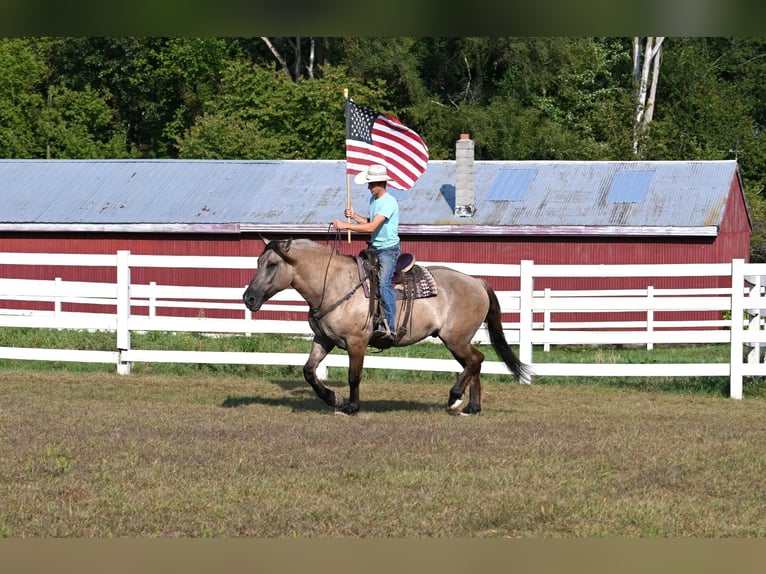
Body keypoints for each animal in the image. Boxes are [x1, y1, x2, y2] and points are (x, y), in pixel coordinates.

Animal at [242, 238, 530, 415]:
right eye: (258, 262)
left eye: (273, 264)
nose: (249, 298)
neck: (334, 283)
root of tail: (477, 282)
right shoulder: (324, 340)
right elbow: (309, 371)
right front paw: (333, 398)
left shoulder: (357, 343)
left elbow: (354, 375)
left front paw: (351, 407)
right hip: (457, 341)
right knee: (475, 363)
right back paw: (471, 406)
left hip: (455, 339)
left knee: (475, 361)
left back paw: (454, 397)